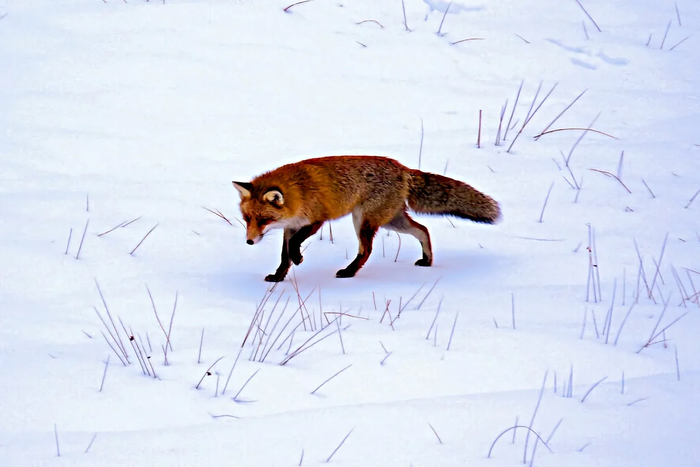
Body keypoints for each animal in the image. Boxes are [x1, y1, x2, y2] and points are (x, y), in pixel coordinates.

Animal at [232, 156, 500, 282]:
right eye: (247, 218)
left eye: (263, 219)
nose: (249, 242)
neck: (298, 193)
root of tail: (403, 169)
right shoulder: (291, 226)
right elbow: (284, 254)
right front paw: (278, 277)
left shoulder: (316, 220)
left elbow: (294, 246)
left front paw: (298, 259)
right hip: (393, 221)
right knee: (423, 229)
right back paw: (427, 261)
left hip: (364, 220)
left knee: (367, 250)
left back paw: (349, 272)